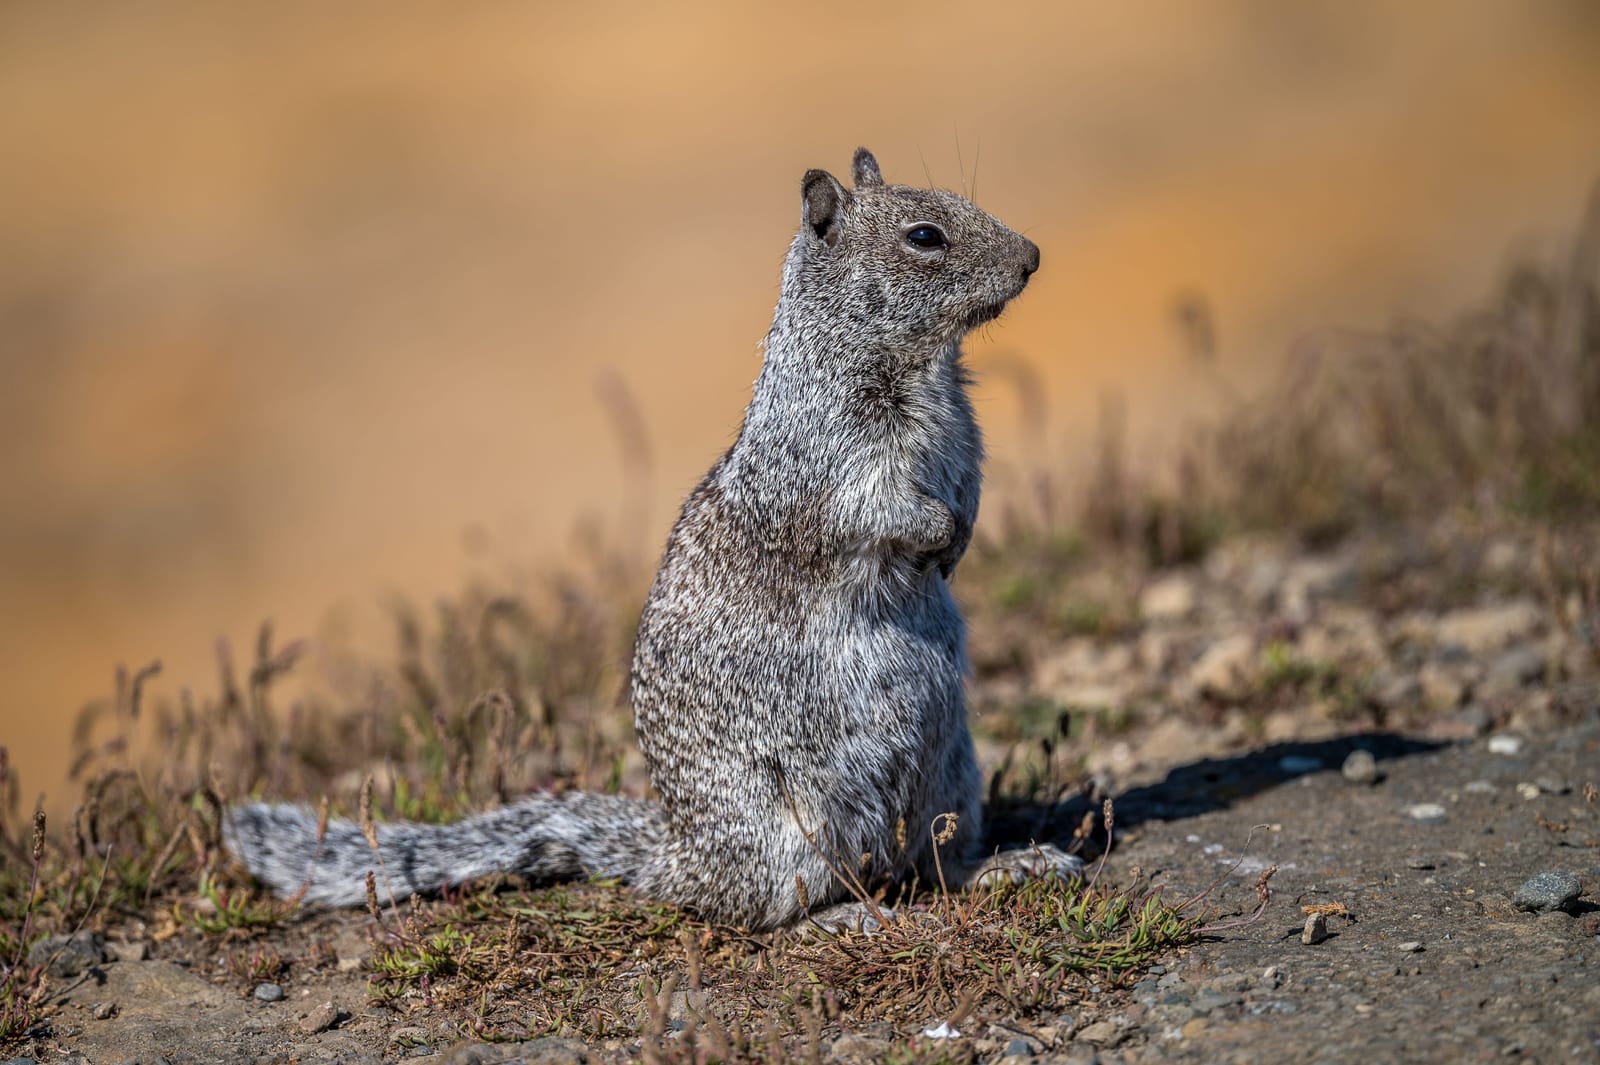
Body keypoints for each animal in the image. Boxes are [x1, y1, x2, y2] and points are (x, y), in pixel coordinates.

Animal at [224, 147, 1084, 932]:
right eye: (925, 235)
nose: (1034, 256)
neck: (924, 367)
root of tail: (677, 855)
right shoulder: (829, 458)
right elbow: (875, 509)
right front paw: (937, 533)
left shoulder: (964, 436)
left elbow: (970, 483)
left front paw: (961, 536)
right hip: (790, 832)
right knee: (763, 909)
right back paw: (844, 916)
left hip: (954, 777)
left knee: (935, 863)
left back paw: (1016, 863)